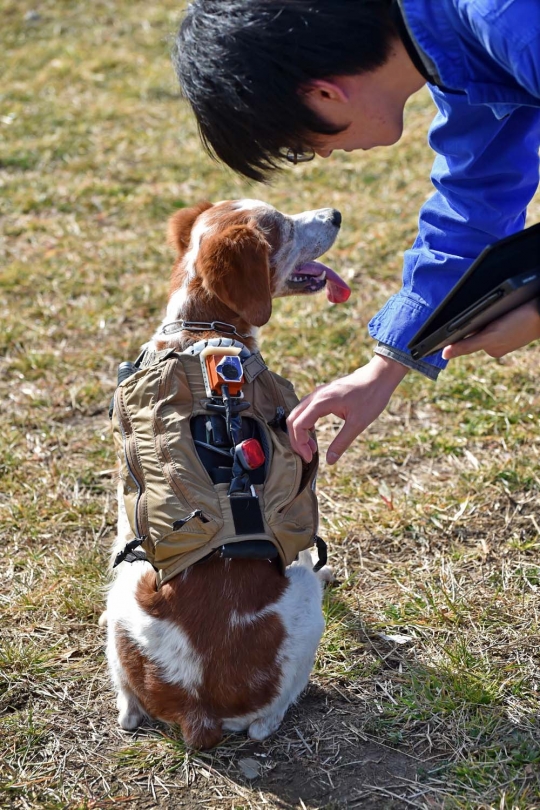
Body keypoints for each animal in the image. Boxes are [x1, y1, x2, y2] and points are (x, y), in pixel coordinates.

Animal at [104, 199, 350, 748]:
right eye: (281, 227)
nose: (336, 214)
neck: (199, 331)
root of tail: (199, 713)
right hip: (302, 603)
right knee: (265, 722)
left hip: (123, 587)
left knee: (126, 706)